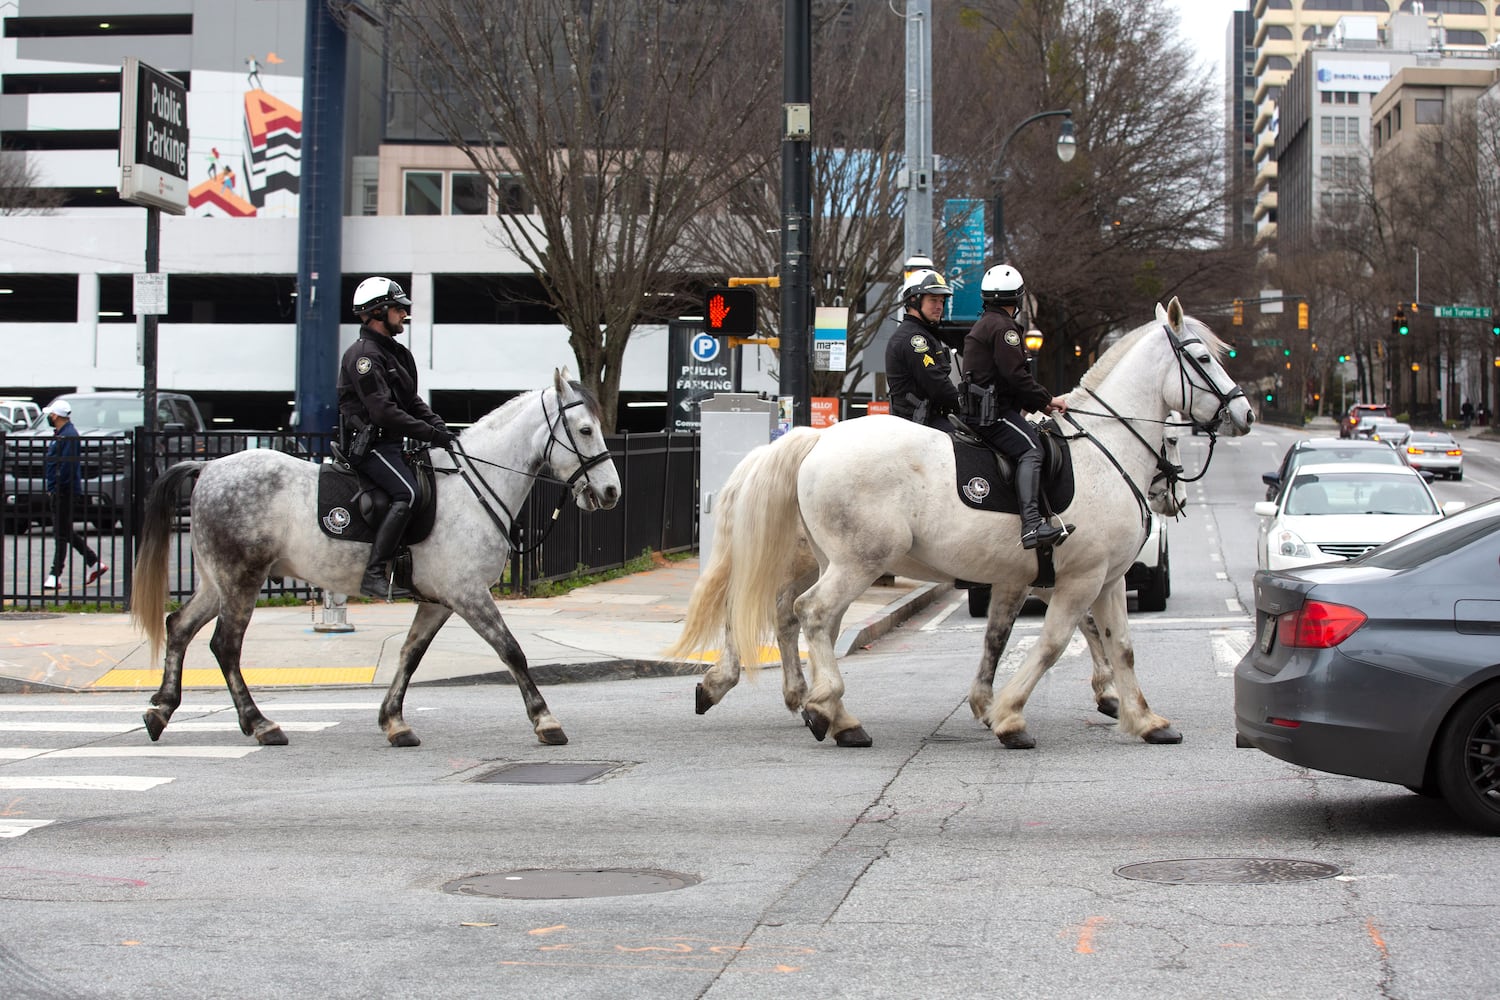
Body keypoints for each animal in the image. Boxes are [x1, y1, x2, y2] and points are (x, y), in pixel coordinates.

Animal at [132, 371, 618, 746]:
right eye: (585, 430)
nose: (611, 491)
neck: (474, 484)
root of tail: (209, 468)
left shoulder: (440, 601)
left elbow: (410, 654)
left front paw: (394, 722)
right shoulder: (468, 594)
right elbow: (511, 650)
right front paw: (546, 720)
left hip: (218, 581)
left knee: (180, 627)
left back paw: (161, 711)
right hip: (241, 579)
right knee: (225, 645)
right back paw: (260, 724)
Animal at [672, 301, 1254, 746]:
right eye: (1203, 356)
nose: (1245, 413)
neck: (1105, 451)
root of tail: (817, 438)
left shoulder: (1090, 579)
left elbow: (1107, 645)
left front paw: (1144, 719)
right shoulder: (1079, 578)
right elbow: (1053, 644)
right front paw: (1010, 716)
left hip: (828, 559)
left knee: (800, 616)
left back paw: (811, 704)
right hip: (856, 560)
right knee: (803, 612)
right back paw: (824, 709)